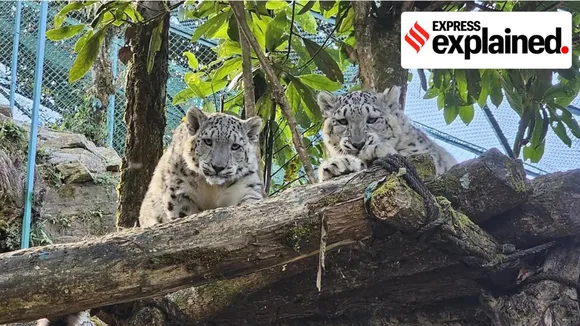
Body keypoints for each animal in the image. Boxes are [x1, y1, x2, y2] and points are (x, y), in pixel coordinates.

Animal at [138, 107, 266, 227]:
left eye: (235, 146)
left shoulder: (247, 186)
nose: (218, 167)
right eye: (208, 141)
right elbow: (184, 215)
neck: (213, 188)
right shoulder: (179, 192)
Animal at [318, 85, 458, 182]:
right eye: (342, 121)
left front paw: (374, 150)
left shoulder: (424, 154)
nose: (358, 144)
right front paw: (337, 165)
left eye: (372, 119)